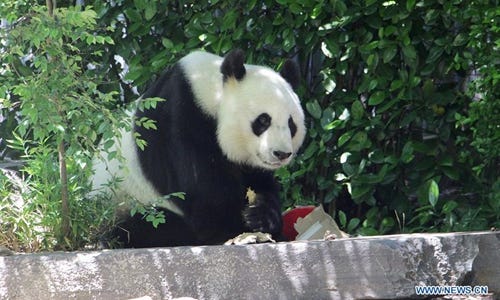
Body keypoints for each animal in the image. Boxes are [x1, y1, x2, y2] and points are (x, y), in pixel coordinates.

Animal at [92, 48, 306, 246]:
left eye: (291, 124)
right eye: (263, 120)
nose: (281, 153)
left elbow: (259, 182)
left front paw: (262, 217)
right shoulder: (181, 120)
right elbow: (204, 194)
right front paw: (236, 229)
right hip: (123, 204)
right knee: (143, 226)